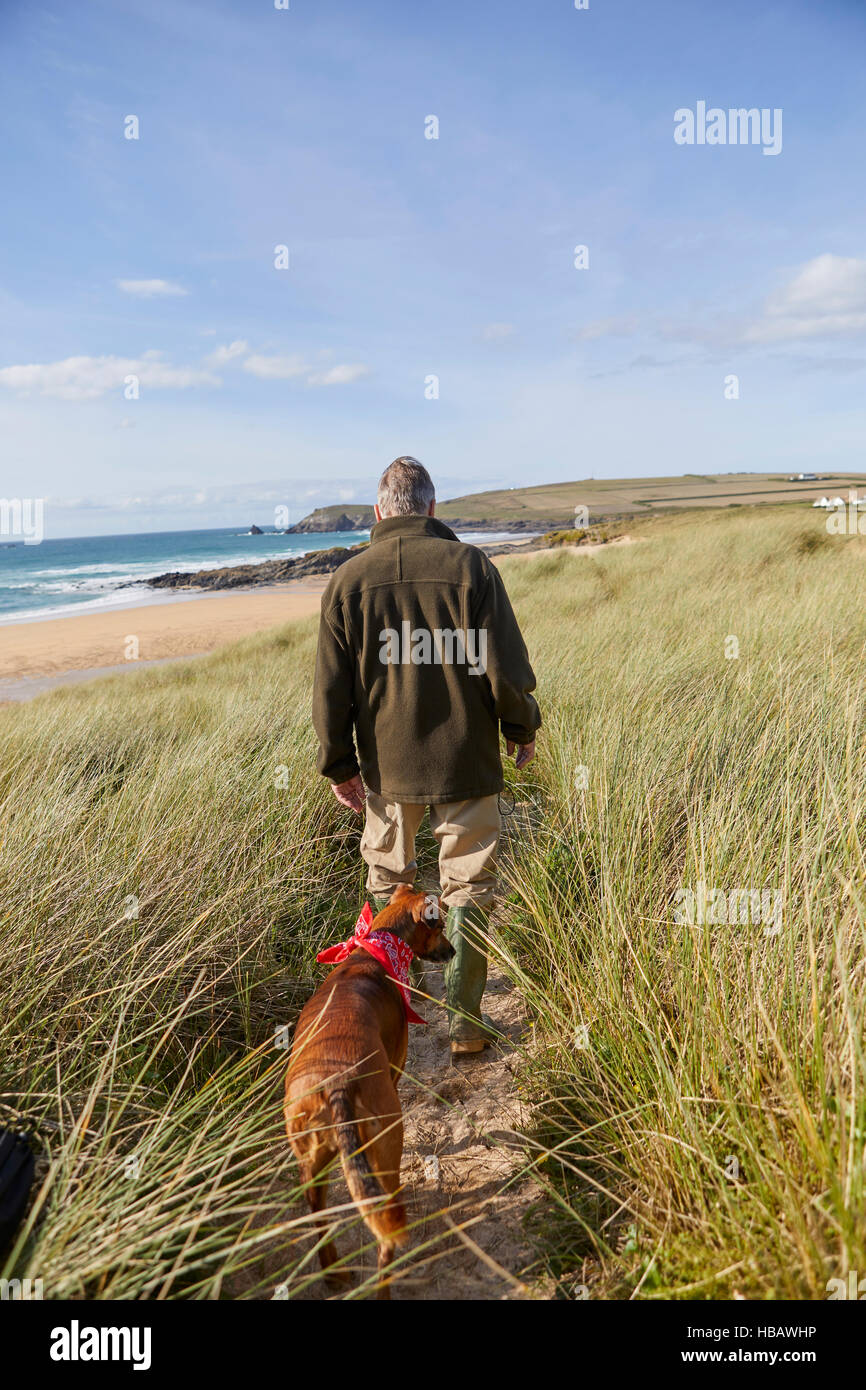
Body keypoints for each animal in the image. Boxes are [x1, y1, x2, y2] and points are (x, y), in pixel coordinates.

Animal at [284, 884, 453, 1295]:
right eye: (439, 926)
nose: (453, 951)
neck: (371, 951)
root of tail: (338, 1086)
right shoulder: (396, 1066)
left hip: (311, 1163)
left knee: (319, 1216)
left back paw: (333, 1273)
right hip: (385, 1150)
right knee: (385, 1237)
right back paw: (384, 1284)